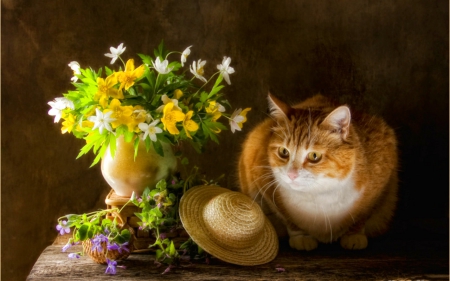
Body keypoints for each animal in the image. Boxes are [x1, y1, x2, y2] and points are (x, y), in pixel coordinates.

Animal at [239, 93, 398, 249]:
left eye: (314, 156)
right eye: (283, 152)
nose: (291, 174)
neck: (318, 193)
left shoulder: (379, 182)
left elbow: (363, 214)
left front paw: (354, 235)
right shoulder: (259, 174)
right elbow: (287, 217)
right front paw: (301, 237)